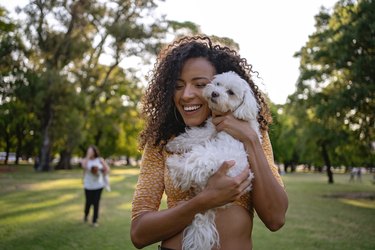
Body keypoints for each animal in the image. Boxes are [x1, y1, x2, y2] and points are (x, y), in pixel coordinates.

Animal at [166, 71, 262, 250]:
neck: (233, 113)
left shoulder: (211, 132)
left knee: (188, 168)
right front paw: (173, 143)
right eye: (217, 84)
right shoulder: (210, 129)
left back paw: (174, 165)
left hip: (208, 157)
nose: (215, 93)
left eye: (230, 92)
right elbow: (192, 136)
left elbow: (196, 136)